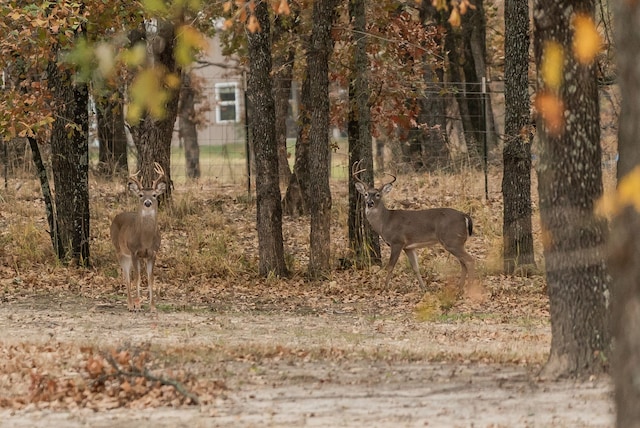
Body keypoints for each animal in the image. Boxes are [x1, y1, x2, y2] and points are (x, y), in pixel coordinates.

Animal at [112, 162, 168, 312]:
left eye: (154, 195)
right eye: (141, 195)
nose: (147, 203)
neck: (146, 240)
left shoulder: (153, 253)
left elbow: (150, 279)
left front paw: (153, 307)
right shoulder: (134, 252)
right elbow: (136, 278)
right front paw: (137, 305)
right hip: (120, 251)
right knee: (126, 277)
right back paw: (130, 305)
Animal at [352, 160, 472, 290]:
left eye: (378, 194)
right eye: (365, 194)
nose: (370, 203)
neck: (385, 222)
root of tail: (464, 216)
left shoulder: (397, 241)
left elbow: (390, 267)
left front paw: (384, 288)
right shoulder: (408, 247)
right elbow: (415, 268)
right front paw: (424, 288)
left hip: (452, 240)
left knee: (470, 260)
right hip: (456, 242)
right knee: (464, 263)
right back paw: (459, 288)